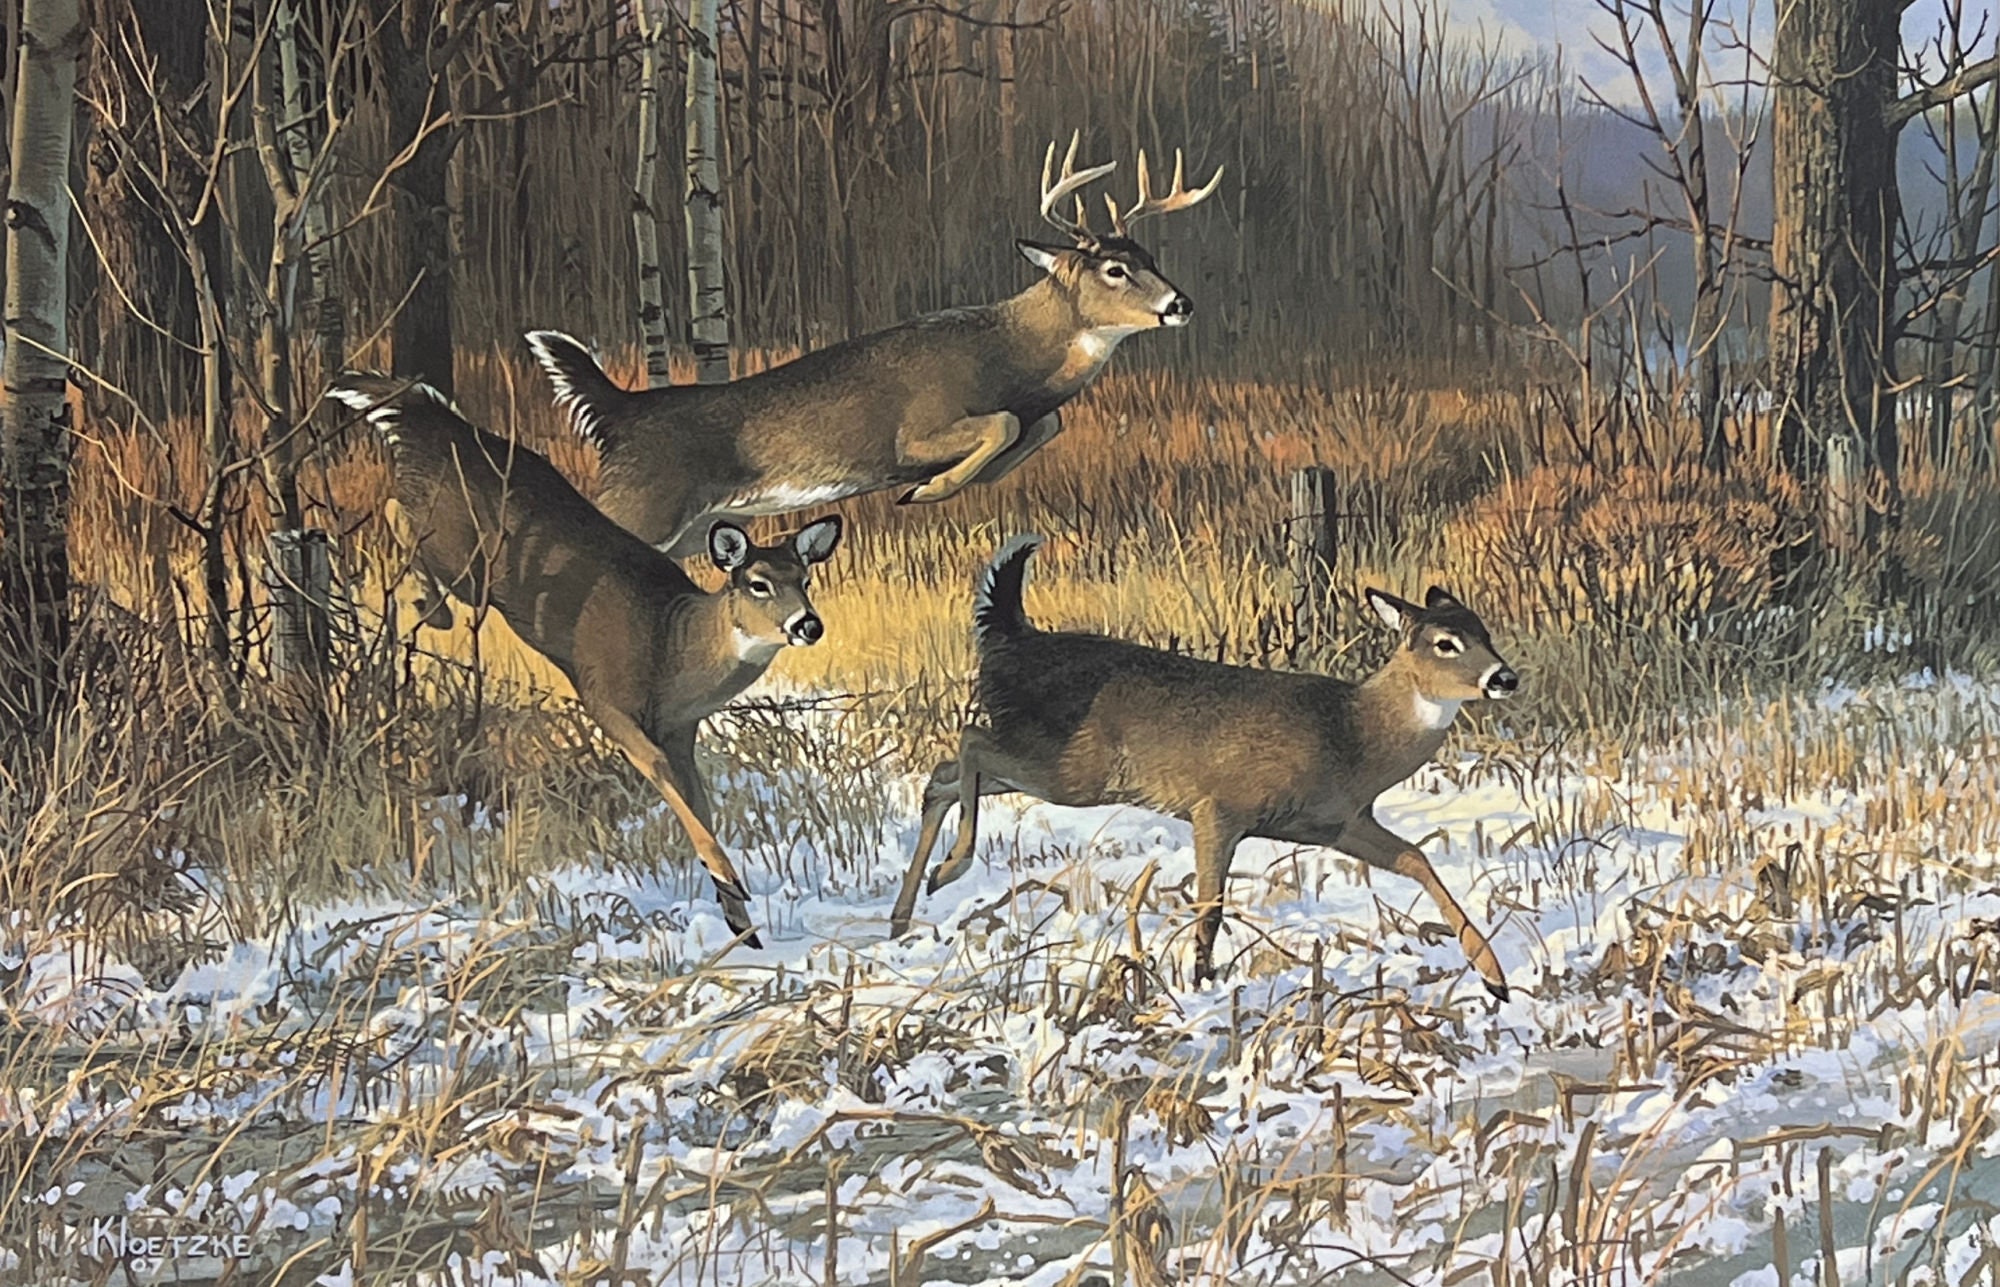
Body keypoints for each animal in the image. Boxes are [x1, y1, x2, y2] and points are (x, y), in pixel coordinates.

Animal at [326, 374, 845, 950]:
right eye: (757, 584)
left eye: (805, 578)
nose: (808, 625)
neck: (671, 643)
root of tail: (423, 418)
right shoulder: (604, 696)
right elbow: (662, 776)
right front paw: (731, 886)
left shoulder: (680, 728)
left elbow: (698, 797)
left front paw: (740, 921)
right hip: (459, 552)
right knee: (396, 519)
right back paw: (395, 593)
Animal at [524, 133, 1221, 555]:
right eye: (1115, 270)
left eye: (1152, 257)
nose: (1181, 304)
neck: (1005, 355)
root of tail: (619, 410)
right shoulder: (916, 429)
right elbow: (1000, 424)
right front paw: (924, 489)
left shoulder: (1034, 414)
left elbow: (1041, 427)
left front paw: (948, 483)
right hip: (641, 502)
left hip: (694, 529)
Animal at [889, 537, 1522, 998]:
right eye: (1444, 642)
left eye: (1486, 631)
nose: (1505, 677)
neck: (1351, 735)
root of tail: (1012, 639)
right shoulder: (1219, 806)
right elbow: (1211, 909)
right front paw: (1199, 983)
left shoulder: (1338, 823)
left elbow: (1417, 859)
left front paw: (1494, 977)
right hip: (1072, 767)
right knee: (969, 740)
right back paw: (946, 871)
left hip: (1057, 766)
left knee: (942, 776)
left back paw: (903, 915)